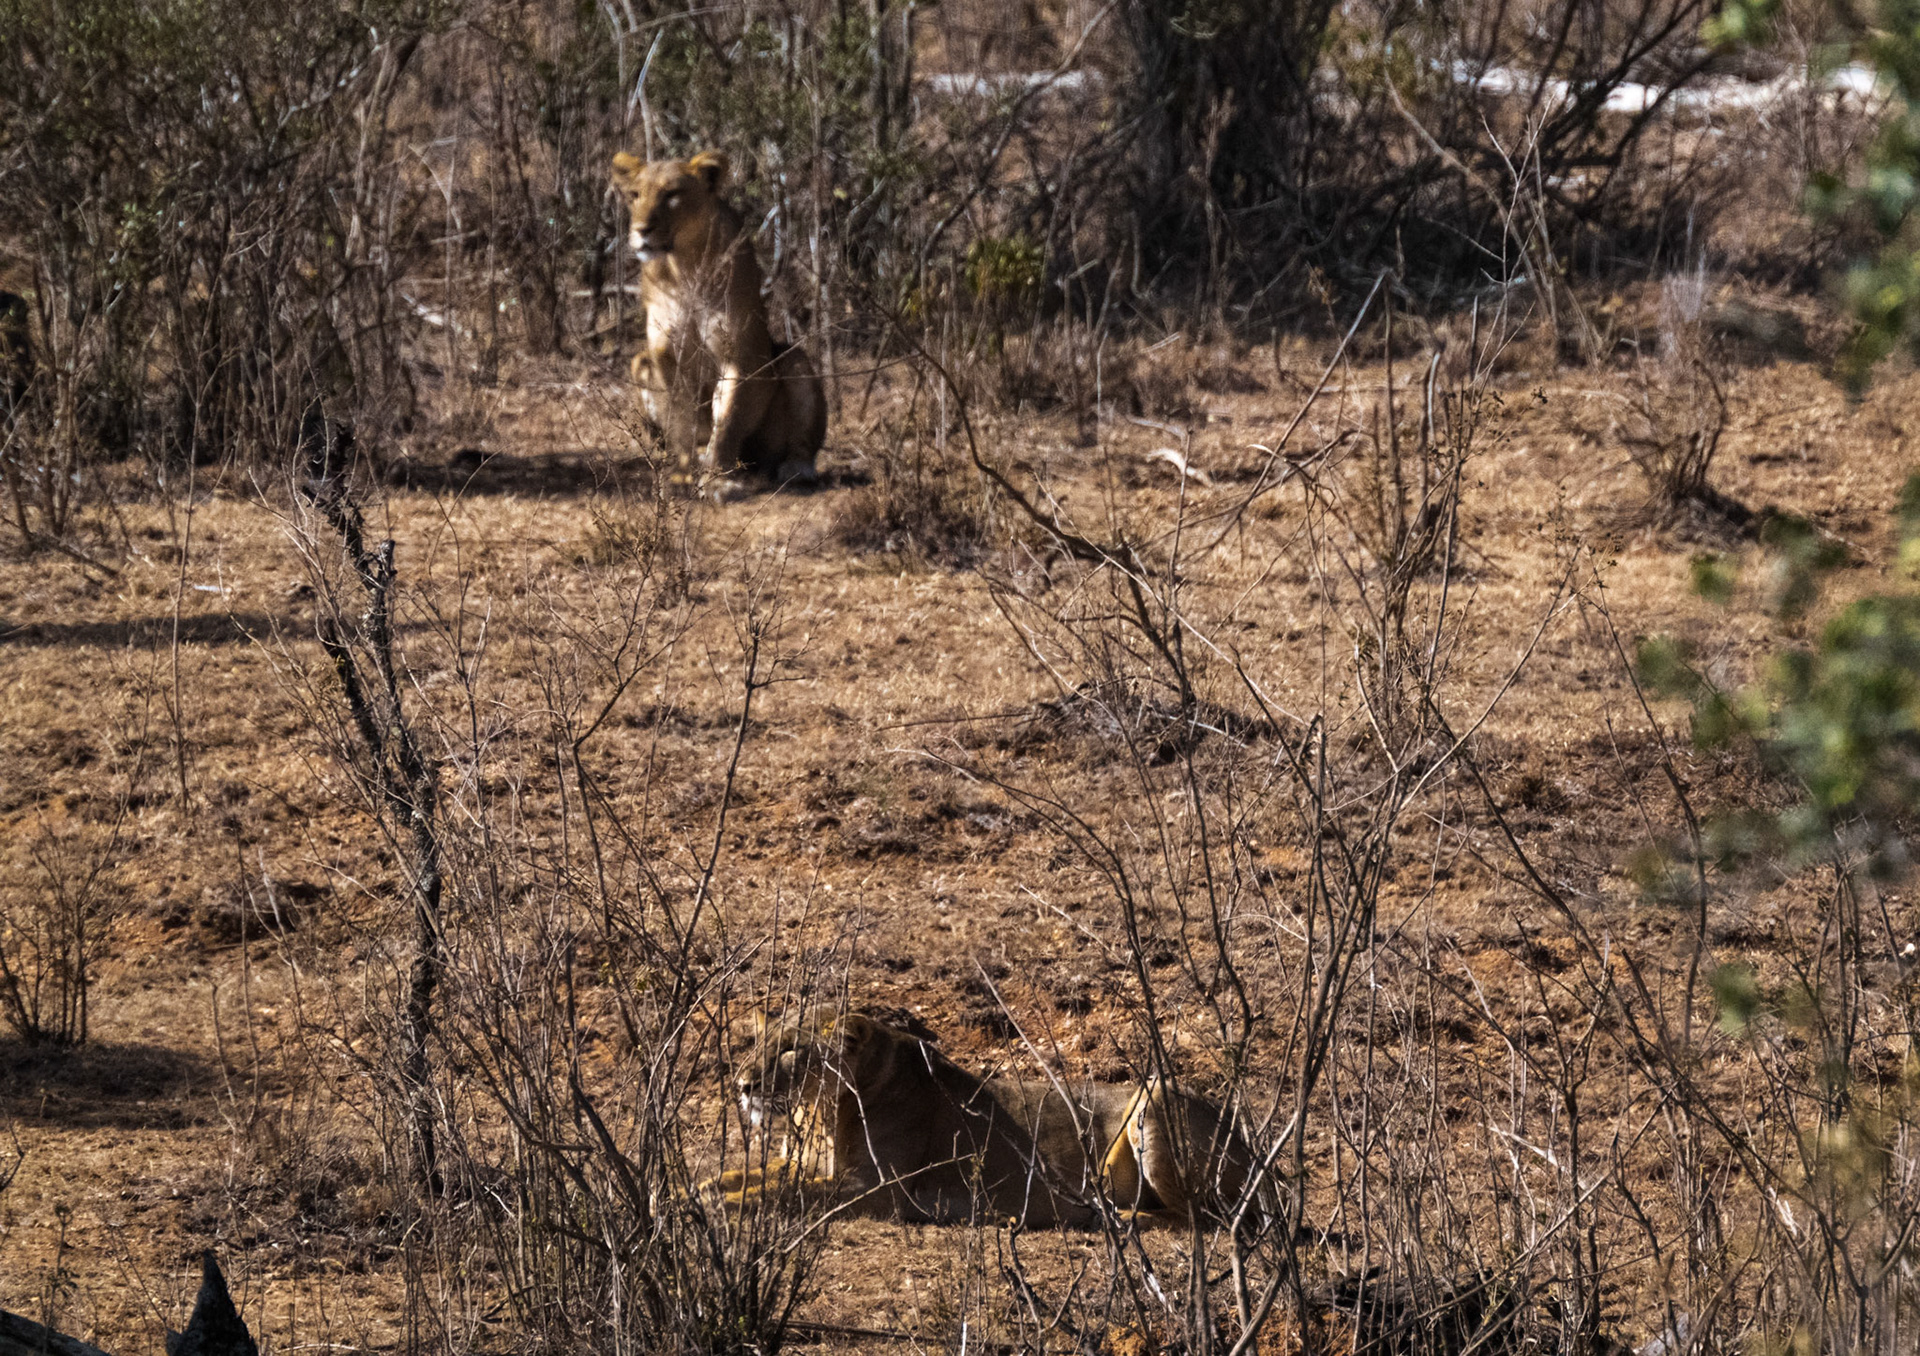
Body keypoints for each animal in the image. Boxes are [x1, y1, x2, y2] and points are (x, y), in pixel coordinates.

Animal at [609, 149, 825, 490]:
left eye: (672, 194)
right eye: (635, 195)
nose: (641, 230)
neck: (683, 266)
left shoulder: (736, 352)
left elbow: (727, 418)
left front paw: (719, 480)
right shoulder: (665, 355)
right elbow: (682, 420)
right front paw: (684, 473)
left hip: (794, 359)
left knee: (797, 446)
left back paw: (795, 468)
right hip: (639, 362)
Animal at [703, 1008, 1261, 1229]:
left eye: (791, 1051)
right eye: (757, 1043)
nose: (744, 1084)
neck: (819, 1113)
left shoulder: (875, 1189)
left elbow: (780, 1194)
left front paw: (718, 1209)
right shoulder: (816, 1166)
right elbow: (744, 1176)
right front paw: (700, 1191)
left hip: (1156, 1097)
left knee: (1210, 1218)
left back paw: (1115, 1216)